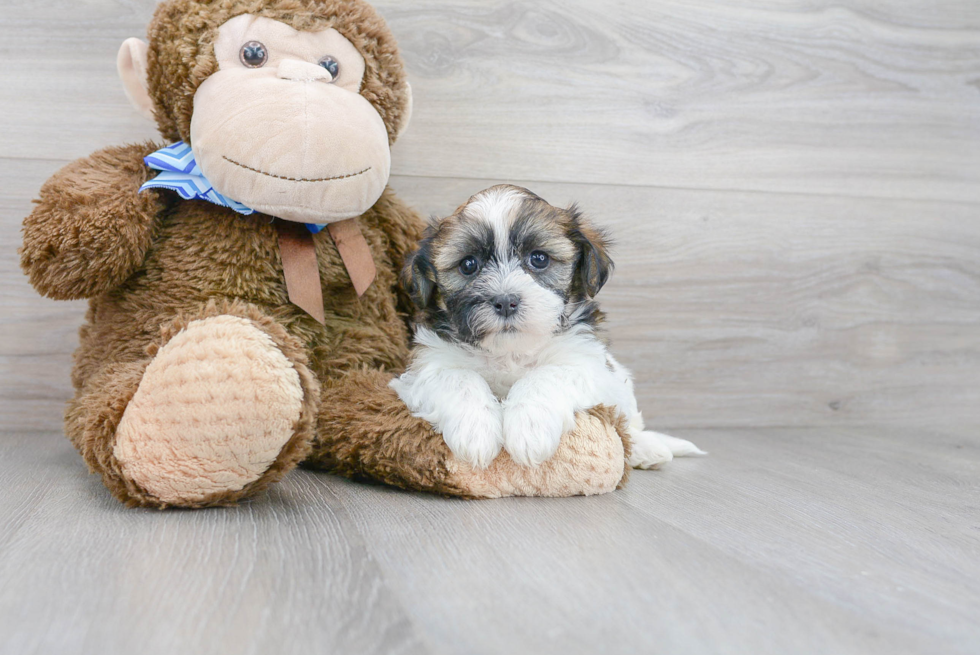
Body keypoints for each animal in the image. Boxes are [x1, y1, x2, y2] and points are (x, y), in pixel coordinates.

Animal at [386, 186, 700, 472]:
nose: (505, 301)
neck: (511, 351)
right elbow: (458, 378)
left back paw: (646, 449)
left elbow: (547, 375)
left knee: (629, 424)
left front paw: (528, 429)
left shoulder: (588, 363)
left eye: (539, 259)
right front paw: (475, 432)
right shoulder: (424, 367)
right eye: (468, 265)